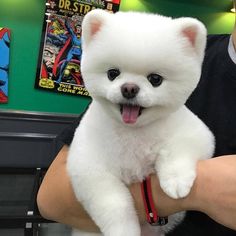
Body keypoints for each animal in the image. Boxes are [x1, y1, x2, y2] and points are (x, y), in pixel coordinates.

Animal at [67, 9, 216, 236]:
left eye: (155, 79)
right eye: (112, 73)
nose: (129, 88)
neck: (133, 131)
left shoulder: (196, 134)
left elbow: (178, 151)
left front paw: (176, 180)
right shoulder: (89, 168)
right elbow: (114, 205)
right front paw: (123, 230)